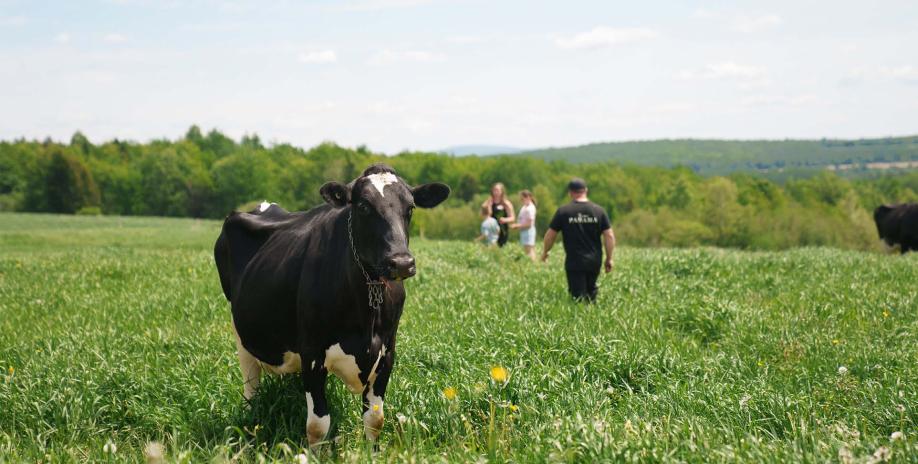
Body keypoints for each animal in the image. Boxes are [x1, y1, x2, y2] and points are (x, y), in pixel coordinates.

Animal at [213, 164, 450, 446]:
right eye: (363, 206)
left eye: (410, 207)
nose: (401, 262)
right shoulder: (312, 353)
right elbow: (317, 425)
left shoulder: (388, 351)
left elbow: (375, 419)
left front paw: (373, 451)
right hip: (241, 332)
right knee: (250, 382)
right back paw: (251, 415)